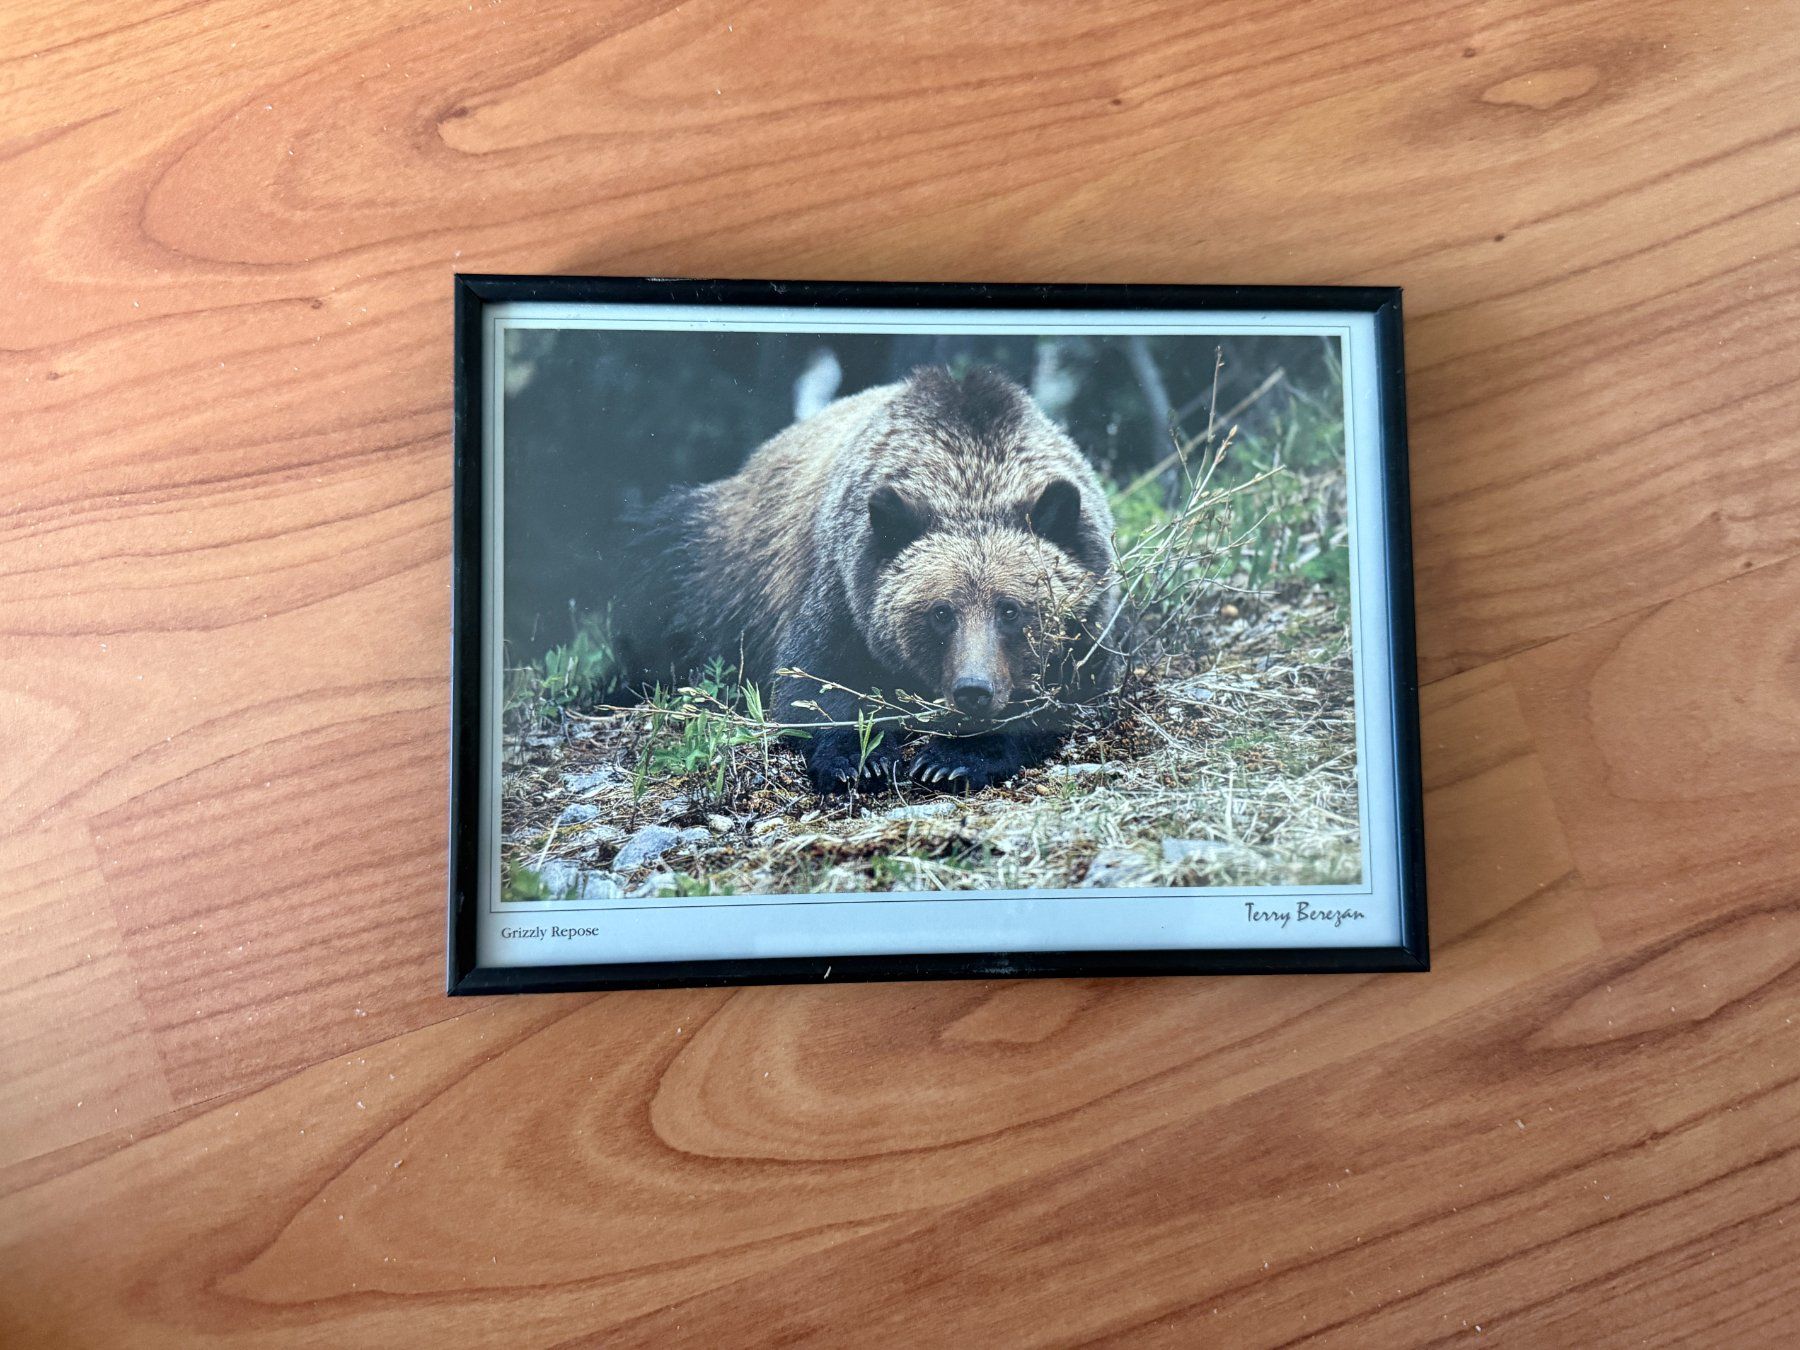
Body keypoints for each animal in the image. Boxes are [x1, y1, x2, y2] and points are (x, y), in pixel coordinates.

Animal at [615, 365, 1126, 794]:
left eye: (1011, 609)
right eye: (942, 612)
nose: (973, 690)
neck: (970, 470)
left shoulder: (1090, 629)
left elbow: (1062, 700)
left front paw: (951, 759)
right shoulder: (844, 588)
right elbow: (814, 685)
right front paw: (862, 759)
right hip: (711, 564)